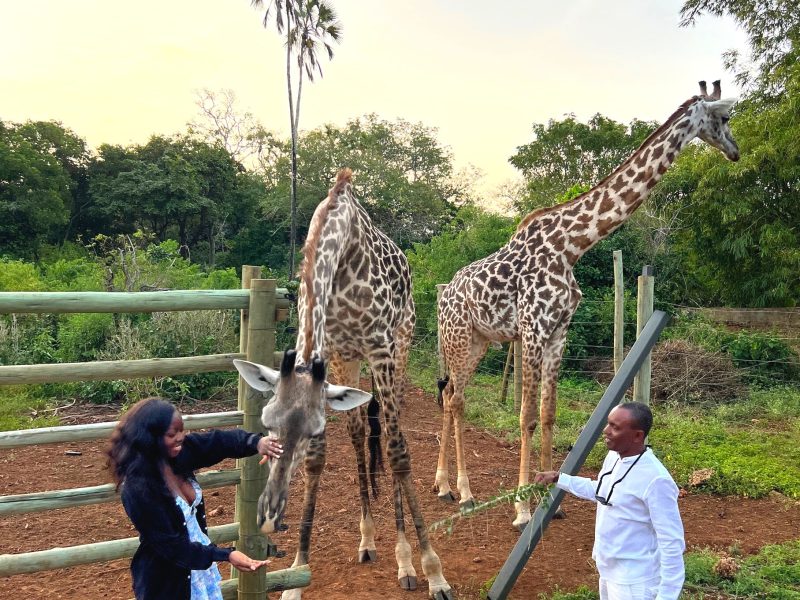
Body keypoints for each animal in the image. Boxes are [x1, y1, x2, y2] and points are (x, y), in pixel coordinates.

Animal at [234, 169, 454, 600]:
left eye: (313, 427)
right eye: (266, 421)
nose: (269, 513)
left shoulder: (381, 347)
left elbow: (398, 452)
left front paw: (432, 569)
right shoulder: (335, 350)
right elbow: (319, 459)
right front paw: (297, 572)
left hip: (401, 345)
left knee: (390, 432)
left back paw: (405, 559)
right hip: (352, 361)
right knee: (357, 432)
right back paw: (368, 540)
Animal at [434, 82, 740, 528]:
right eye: (725, 117)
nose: (735, 150)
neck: (572, 246)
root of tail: (443, 294)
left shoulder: (559, 331)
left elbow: (548, 414)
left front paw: (550, 499)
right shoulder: (534, 329)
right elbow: (526, 416)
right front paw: (522, 509)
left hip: (478, 341)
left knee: (450, 396)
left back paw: (442, 485)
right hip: (457, 337)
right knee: (456, 399)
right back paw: (465, 494)